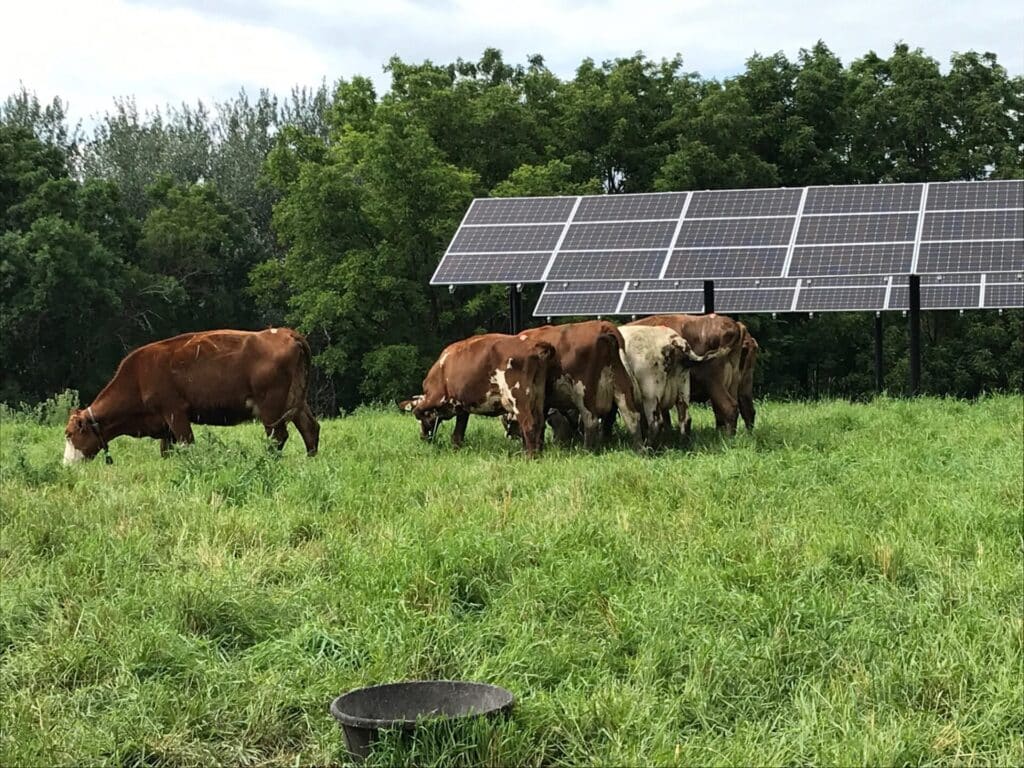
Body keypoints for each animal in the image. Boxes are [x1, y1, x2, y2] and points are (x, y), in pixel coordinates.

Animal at [64, 327, 319, 466]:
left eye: (69, 434)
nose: (66, 464)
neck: (137, 377)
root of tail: (285, 332)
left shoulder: (175, 413)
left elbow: (187, 444)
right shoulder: (165, 425)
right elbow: (166, 451)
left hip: (271, 406)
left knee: (277, 437)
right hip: (296, 401)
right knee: (310, 428)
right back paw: (310, 462)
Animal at [401, 331, 561, 454]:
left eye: (422, 421)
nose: (423, 438)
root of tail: (533, 345)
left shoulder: (435, 396)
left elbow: (417, 410)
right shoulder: (462, 408)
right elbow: (458, 434)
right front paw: (456, 451)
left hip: (518, 397)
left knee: (528, 424)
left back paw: (529, 456)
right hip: (538, 396)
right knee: (539, 423)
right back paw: (537, 453)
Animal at [520, 319, 638, 450]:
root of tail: (602, 325)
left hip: (582, 391)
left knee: (590, 420)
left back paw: (587, 450)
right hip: (621, 386)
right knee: (632, 416)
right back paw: (640, 449)